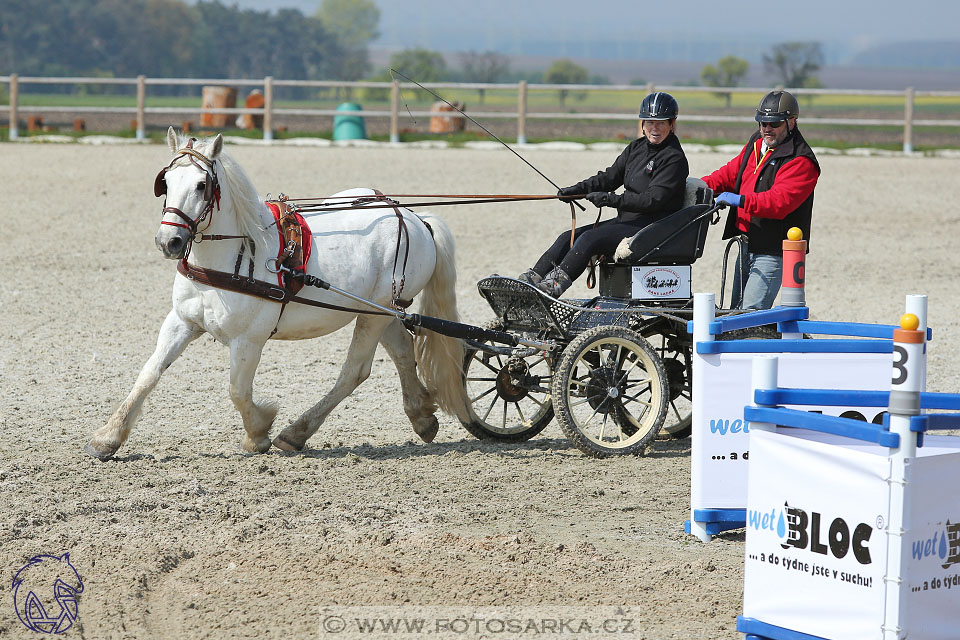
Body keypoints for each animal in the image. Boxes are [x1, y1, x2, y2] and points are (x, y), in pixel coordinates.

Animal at [86, 129, 468, 460]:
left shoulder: (248, 340)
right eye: (165, 182)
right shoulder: (181, 322)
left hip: (375, 315)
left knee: (354, 371)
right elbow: (148, 374)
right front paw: (108, 438)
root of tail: (413, 217)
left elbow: (238, 391)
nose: (170, 242)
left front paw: (258, 433)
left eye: (201, 184)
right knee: (403, 352)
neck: (231, 255)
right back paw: (421, 416)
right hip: (380, 311)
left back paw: (296, 433)